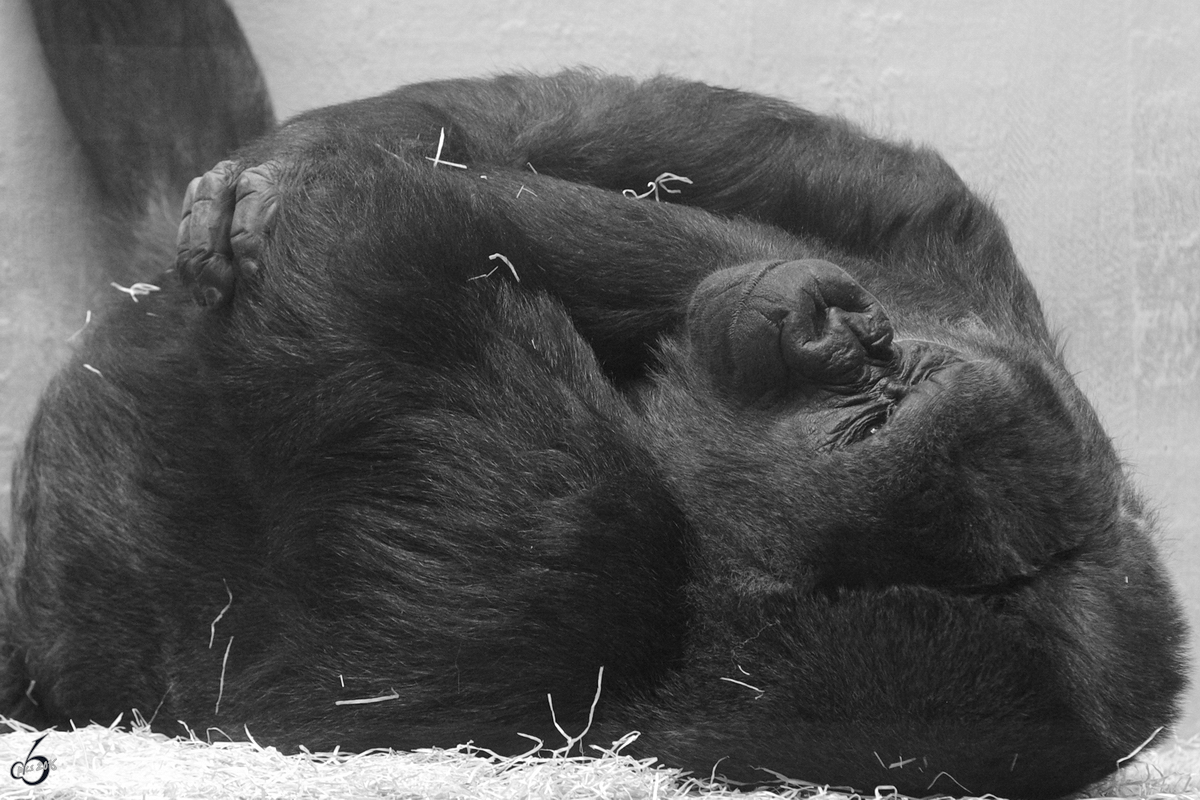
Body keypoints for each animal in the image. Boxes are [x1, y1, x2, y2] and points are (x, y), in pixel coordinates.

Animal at [0, 0, 1185, 796]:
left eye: (876, 421)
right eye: (886, 367)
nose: (840, 323)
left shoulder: (774, 666)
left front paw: (346, 205)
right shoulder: (970, 287)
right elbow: (678, 147)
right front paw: (317, 154)